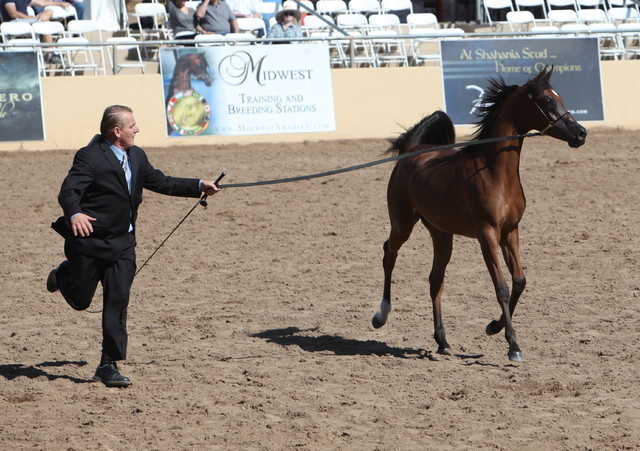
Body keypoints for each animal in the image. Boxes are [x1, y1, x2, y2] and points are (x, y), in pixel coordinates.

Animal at [371, 67, 587, 362]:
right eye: (547, 101)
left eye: (560, 98)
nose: (581, 133)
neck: (495, 173)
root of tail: (411, 152)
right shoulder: (487, 234)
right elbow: (501, 287)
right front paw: (513, 346)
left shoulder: (510, 232)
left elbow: (519, 281)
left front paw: (493, 327)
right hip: (402, 223)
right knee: (389, 253)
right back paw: (381, 315)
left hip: (441, 233)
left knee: (435, 280)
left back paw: (442, 341)